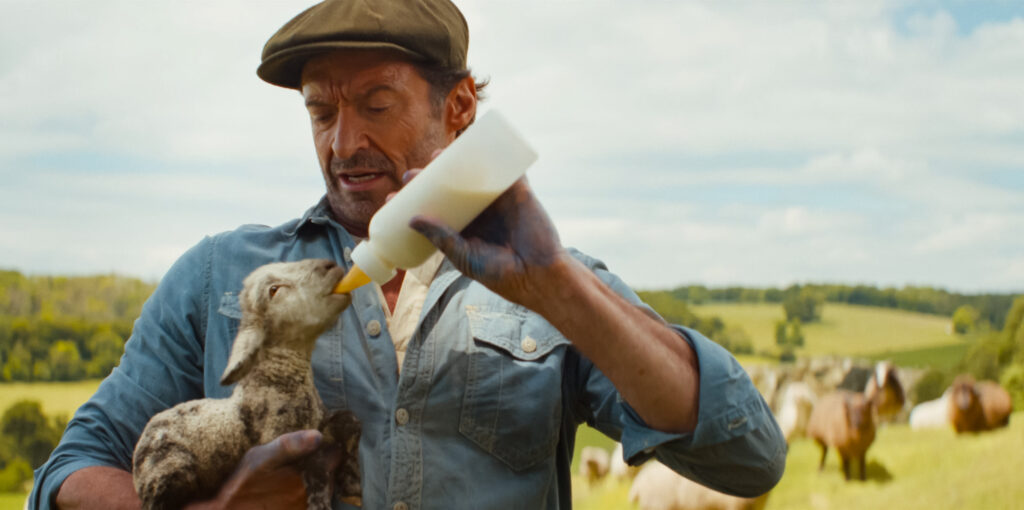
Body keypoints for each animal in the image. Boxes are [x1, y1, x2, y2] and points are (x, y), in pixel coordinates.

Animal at [132, 259, 361, 510]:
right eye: (274, 290)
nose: (330, 265)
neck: (281, 376)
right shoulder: (282, 440)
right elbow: (316, 461)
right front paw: (320, 500)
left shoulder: (320, 423)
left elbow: (351, 421)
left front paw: (352, 486)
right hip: (169, 472)